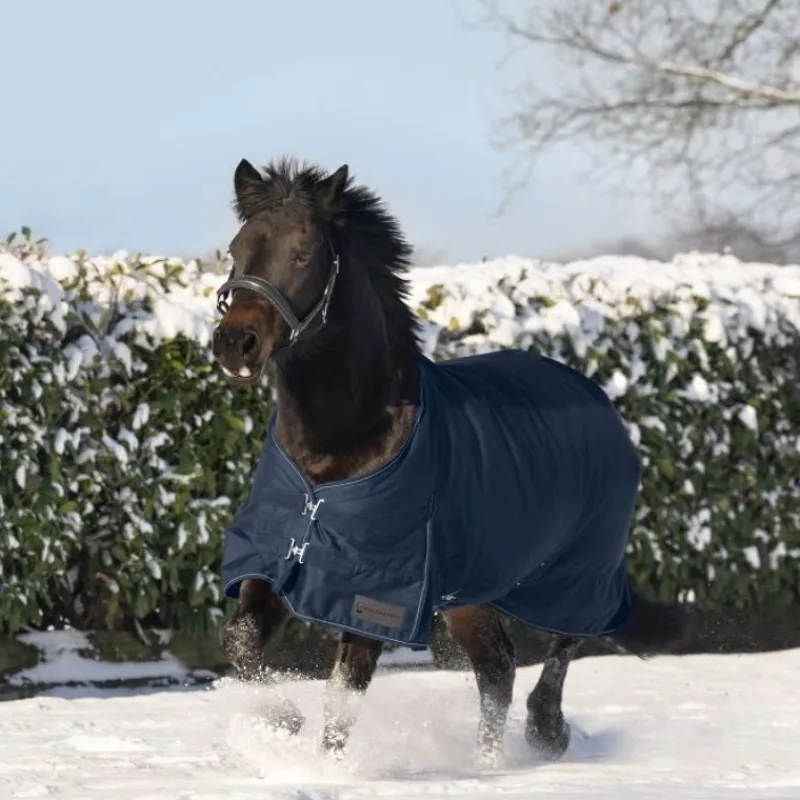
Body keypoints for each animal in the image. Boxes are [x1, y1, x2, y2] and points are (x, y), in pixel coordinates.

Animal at [211, 156, 687, 762]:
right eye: (236, 248)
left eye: (304, 253)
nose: (236, 342)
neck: (335, 453)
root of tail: (600, 401)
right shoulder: (274, 559)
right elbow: (241, 642)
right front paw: (280, 722)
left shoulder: (379, 591)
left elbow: (343, 694)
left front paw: (319, 763)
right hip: (472, 588)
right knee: (497, 666)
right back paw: (489, 761)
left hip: (580, 570)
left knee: (563, 643)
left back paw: (544, 733)